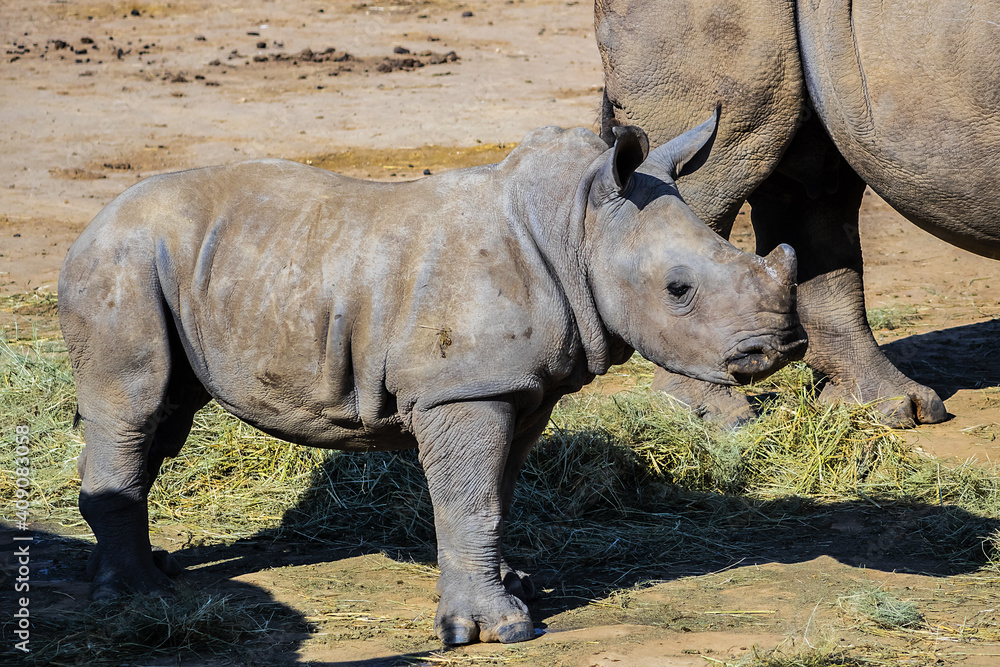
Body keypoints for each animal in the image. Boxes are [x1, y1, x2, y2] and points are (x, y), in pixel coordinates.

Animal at [59, 113, 806, 644]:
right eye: (679, 289)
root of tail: (92, 223)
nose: (781, 346)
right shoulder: (464, 388)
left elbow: (496, 493)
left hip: (170, 267)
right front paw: (498, 629)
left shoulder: (517, 386)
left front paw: (516, 585)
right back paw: (139, 596)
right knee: (135, 407)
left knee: (164, 419)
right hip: (121, 260)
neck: (576, 224)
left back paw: (142, 573)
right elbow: (468, 499)